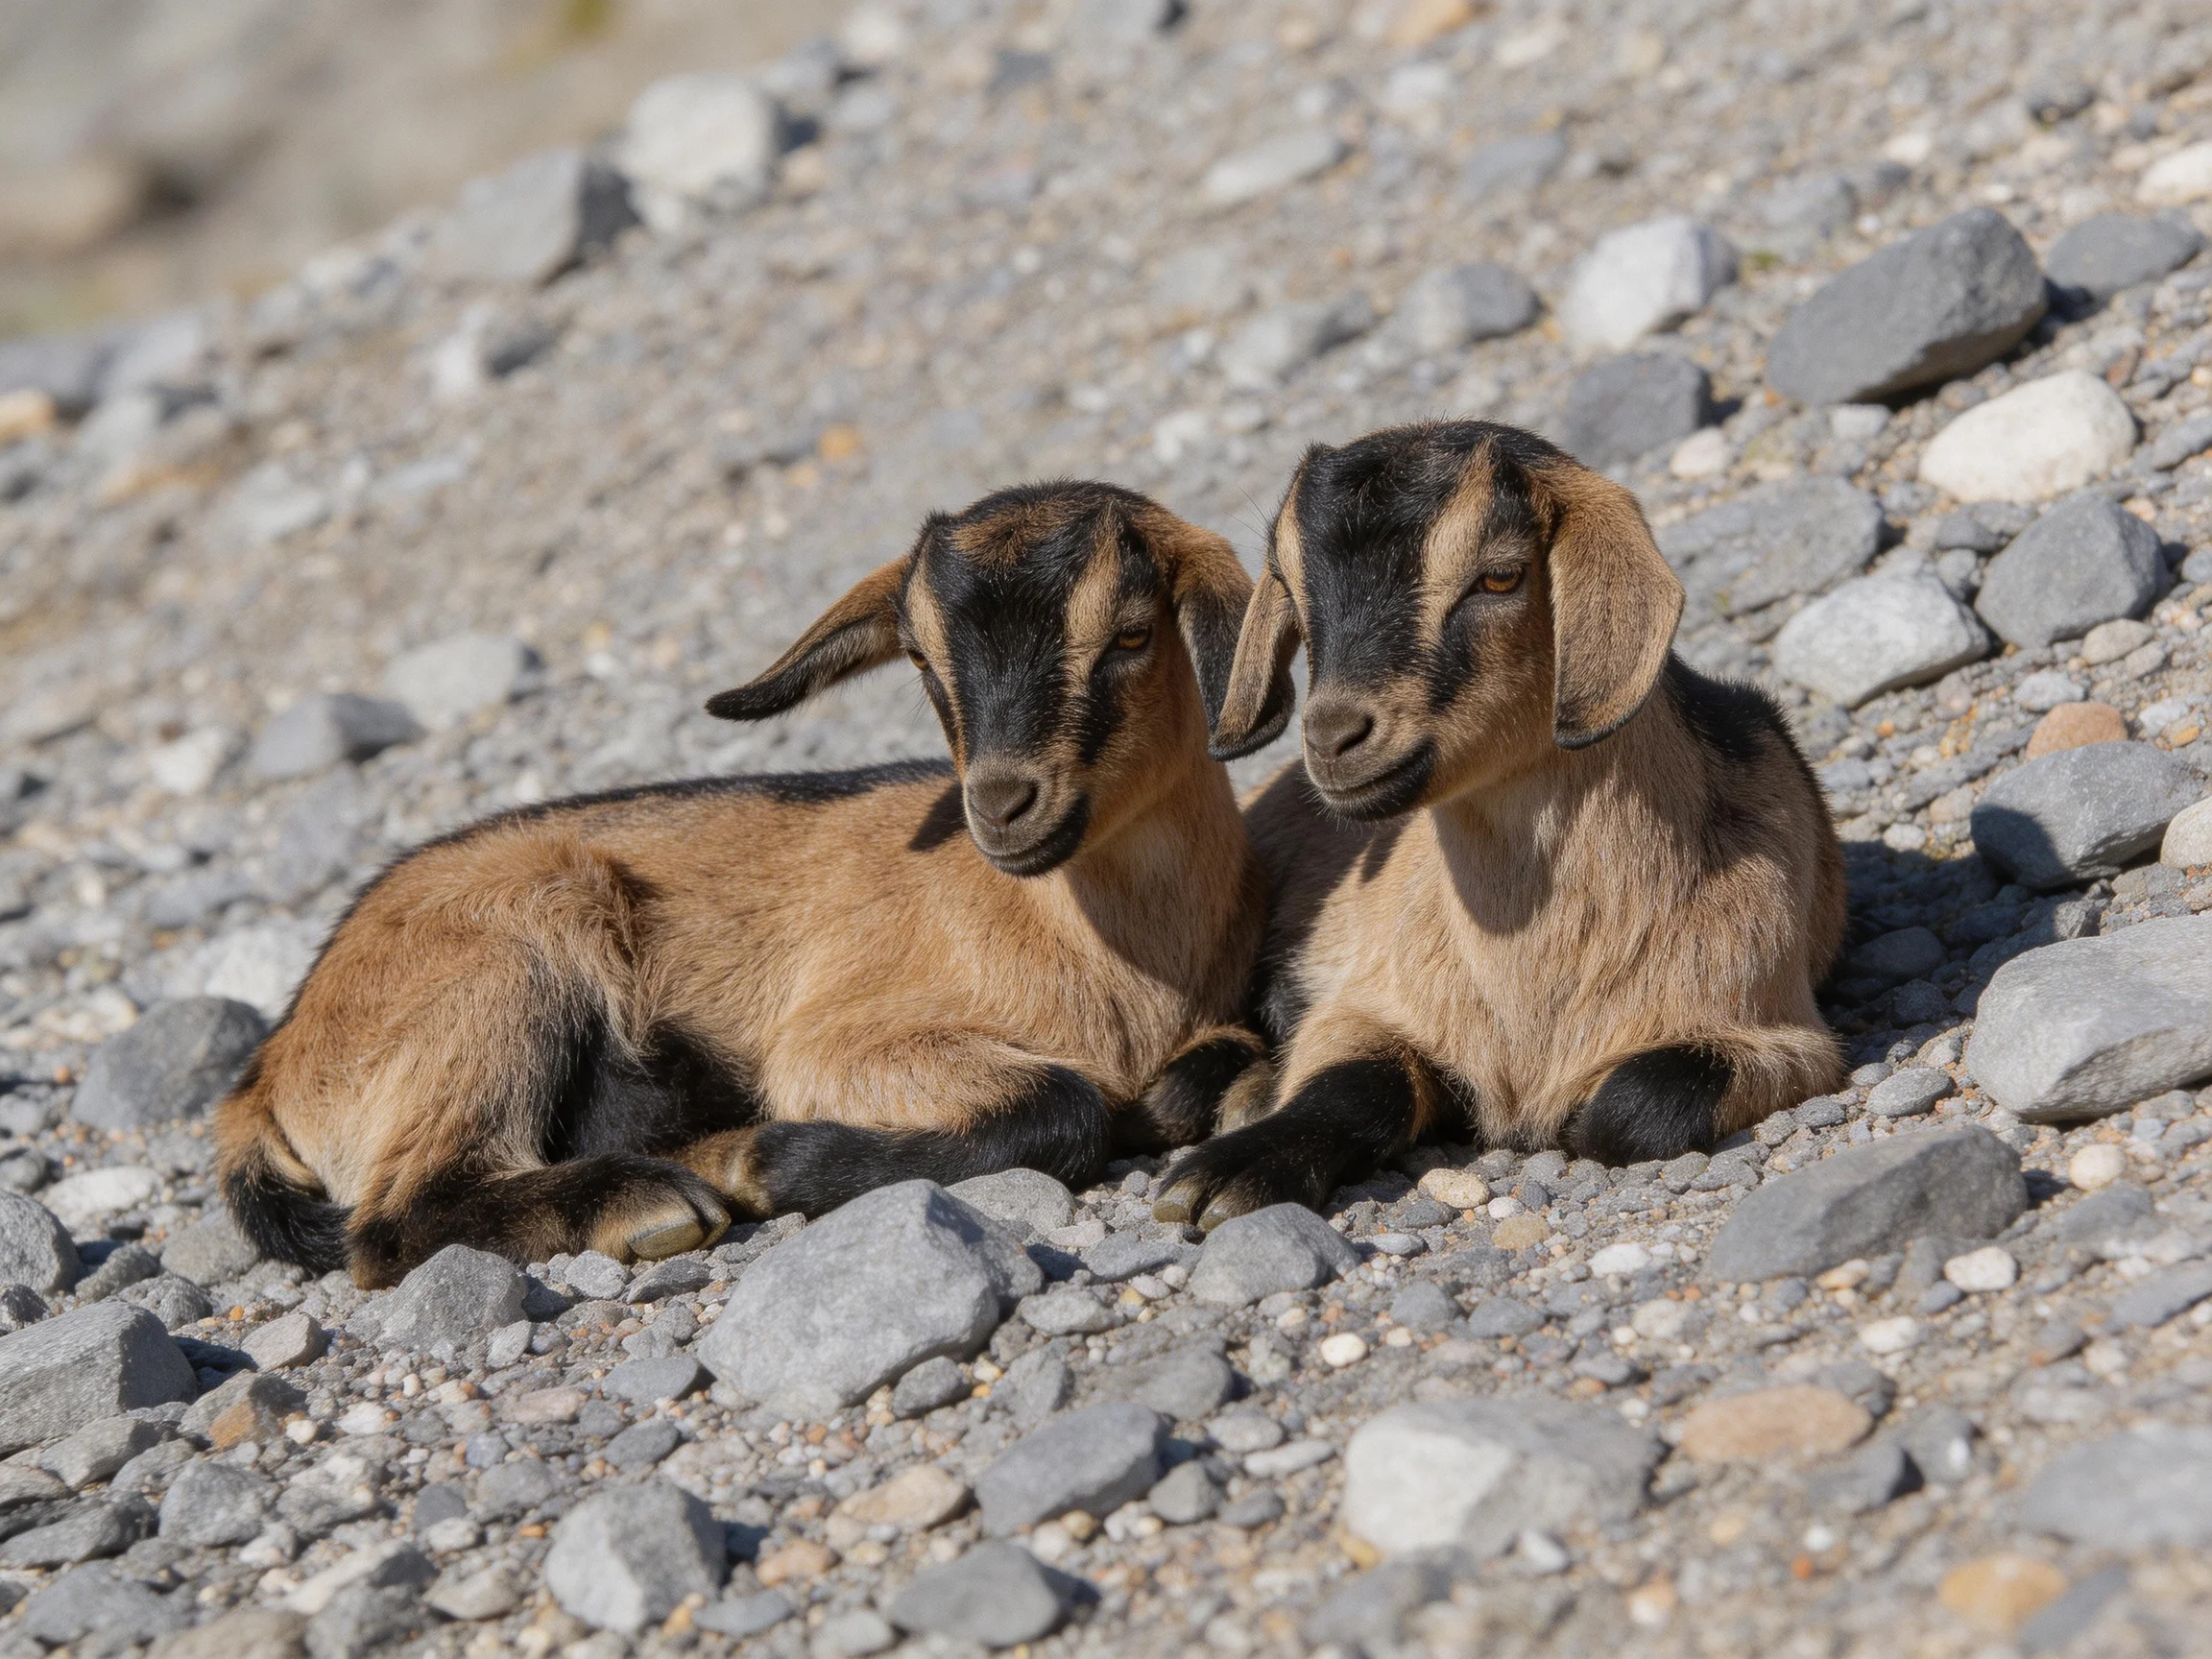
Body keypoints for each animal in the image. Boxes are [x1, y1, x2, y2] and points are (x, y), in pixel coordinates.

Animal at [217, 481, 1285, 1286]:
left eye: (1132, 635)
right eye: (924, 661)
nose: (1001, 804)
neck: (1114, 961)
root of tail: (270, 1072)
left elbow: (1204, 1072)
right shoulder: (828, 1044)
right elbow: (1064, 1106)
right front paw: (763, 1156)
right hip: (499, 978)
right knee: (391, 1223)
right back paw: (648, 1195)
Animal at [1154, 420, 1844, 1230]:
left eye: (1501, 577)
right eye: (1291, 588)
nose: (1333, 737)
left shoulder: (1782, 1029)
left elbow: (1632, 1107)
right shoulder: (1373, 998)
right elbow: (1353, 1083)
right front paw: (1224, 1174)